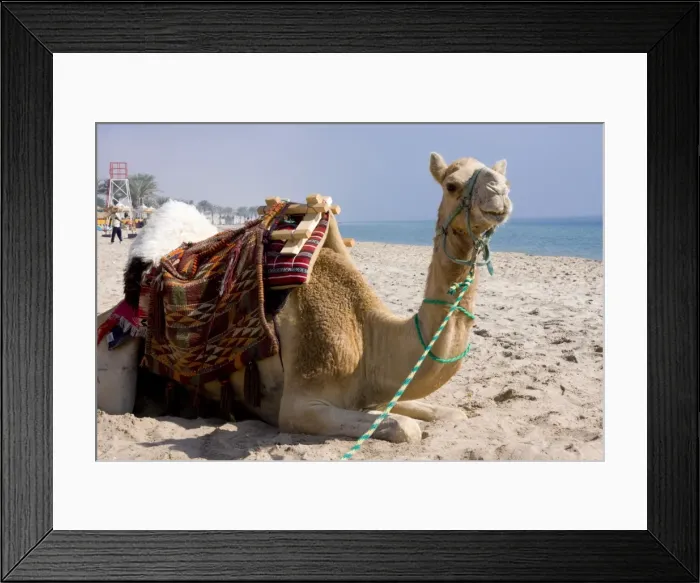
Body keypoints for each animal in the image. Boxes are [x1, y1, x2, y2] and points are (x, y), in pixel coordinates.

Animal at [96, 152, 512, 445]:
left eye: (502, 176)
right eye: (452, 184)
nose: (501, 193)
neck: (370, 337)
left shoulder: (373, 396)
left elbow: (447, 415)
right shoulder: (300, 406)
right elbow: (404, 428)